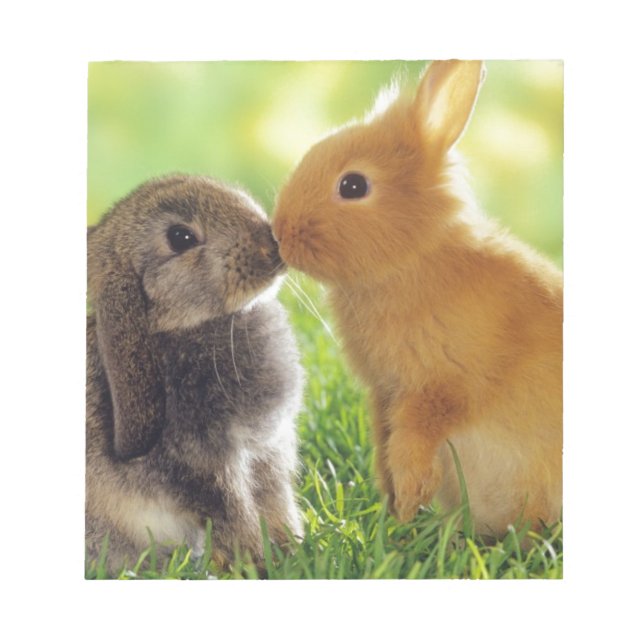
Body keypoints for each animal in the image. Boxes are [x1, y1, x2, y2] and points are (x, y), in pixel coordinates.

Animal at [86, 174, 304, 574]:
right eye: (180, 237)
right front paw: (256, 563)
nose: (271, 245)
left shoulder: (267, 451)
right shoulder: (204, 464)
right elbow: (234, 513)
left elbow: (275, 502)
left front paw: (294, 551)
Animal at [272, 60, 562, 537]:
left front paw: (408, 506)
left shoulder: (439, 388)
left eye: (353, 185)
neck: (412, 260)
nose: (279, 234)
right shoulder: (384, 393)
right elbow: (385, 445)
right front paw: (394, 512)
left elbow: (412, 444)